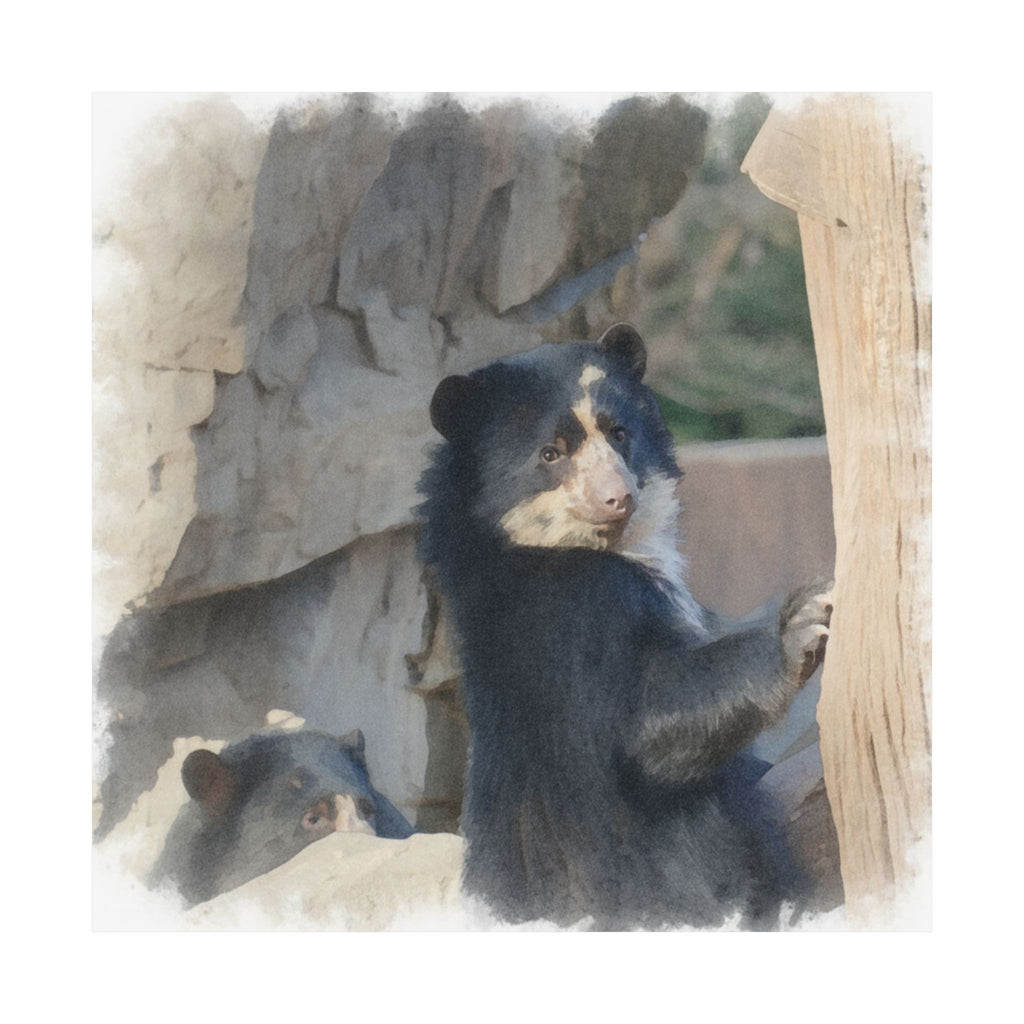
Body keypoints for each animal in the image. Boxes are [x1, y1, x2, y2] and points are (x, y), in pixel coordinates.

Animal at [417, 322, 832, 930]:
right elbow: (648, 719)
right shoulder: (580, 613)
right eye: (551, 452)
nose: (618, 498)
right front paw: (805, 621)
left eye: (620, 433)